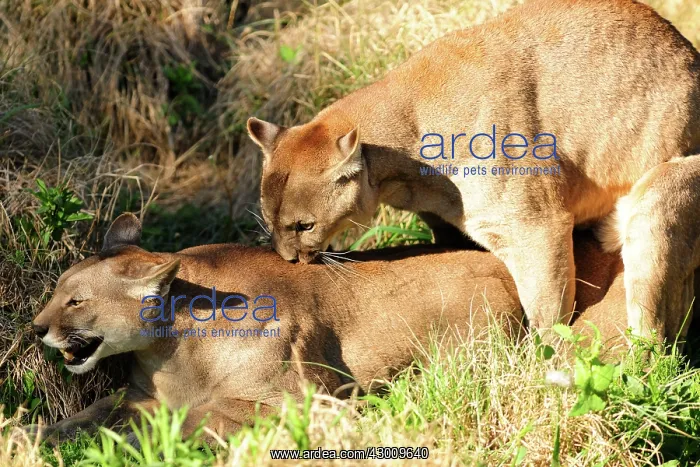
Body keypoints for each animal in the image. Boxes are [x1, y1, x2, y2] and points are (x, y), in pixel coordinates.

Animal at [246, 0, 700, 338]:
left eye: (304, 225)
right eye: (269, 221)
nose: (287, 258)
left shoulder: (537, 227)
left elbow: (547, 310)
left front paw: (538, 360)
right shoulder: (442, 221)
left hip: (660, 197)